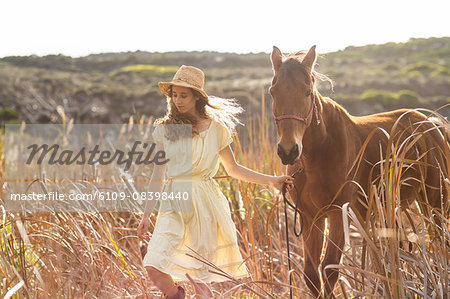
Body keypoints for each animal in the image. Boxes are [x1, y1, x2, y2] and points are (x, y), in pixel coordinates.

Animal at [268, 45, 448, 298]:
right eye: (273, 92)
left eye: (307, 92)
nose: (288, 150)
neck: (319, 154)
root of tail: (430, 123)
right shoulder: (311, 217)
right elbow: (312, 274)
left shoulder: (338, 213)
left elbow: (329, 270)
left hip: (434, 203)